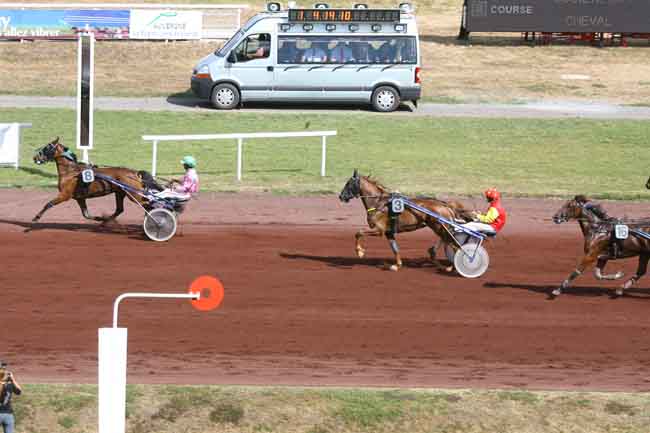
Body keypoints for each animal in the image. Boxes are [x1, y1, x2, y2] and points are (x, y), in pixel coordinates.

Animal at [32, 137, 161, 223]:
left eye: (47, 147)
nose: (35, 157)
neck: (71, 172)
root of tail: (135, 172)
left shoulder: (65, 195)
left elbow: (49, 204)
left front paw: (36, 217)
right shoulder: (80, 198)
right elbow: (86, 214)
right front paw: (99, 218)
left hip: (133, 194)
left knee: (148, 205)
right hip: (120, 193)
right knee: (120, 209)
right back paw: (106, 220)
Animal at [338, 169, 474, 271]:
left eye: (348, 184)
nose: (341, 196)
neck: (379, 203)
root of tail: (446, 205)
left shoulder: (379, 230)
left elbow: (358, 232)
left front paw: (360, 252)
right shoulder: (389, 233)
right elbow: (395, 248)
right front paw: (397, 265)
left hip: (440, 227)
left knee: (454, 246)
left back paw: (453, 266)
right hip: (441, 228)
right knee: (447, 242)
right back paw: (438, 259)